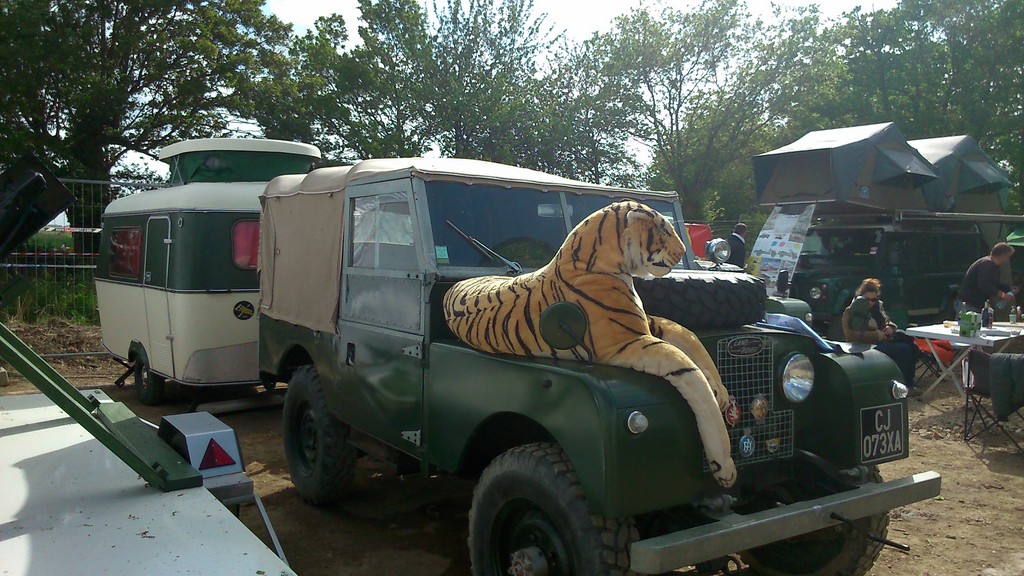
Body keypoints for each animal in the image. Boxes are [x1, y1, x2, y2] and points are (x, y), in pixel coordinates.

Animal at [442, 200, 736, 487]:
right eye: (664, 230)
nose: (684, 250)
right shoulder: (628, 342)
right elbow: (689, 372)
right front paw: (724, 466)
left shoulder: (648, 324)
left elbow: (689, 336)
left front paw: (720, 389)